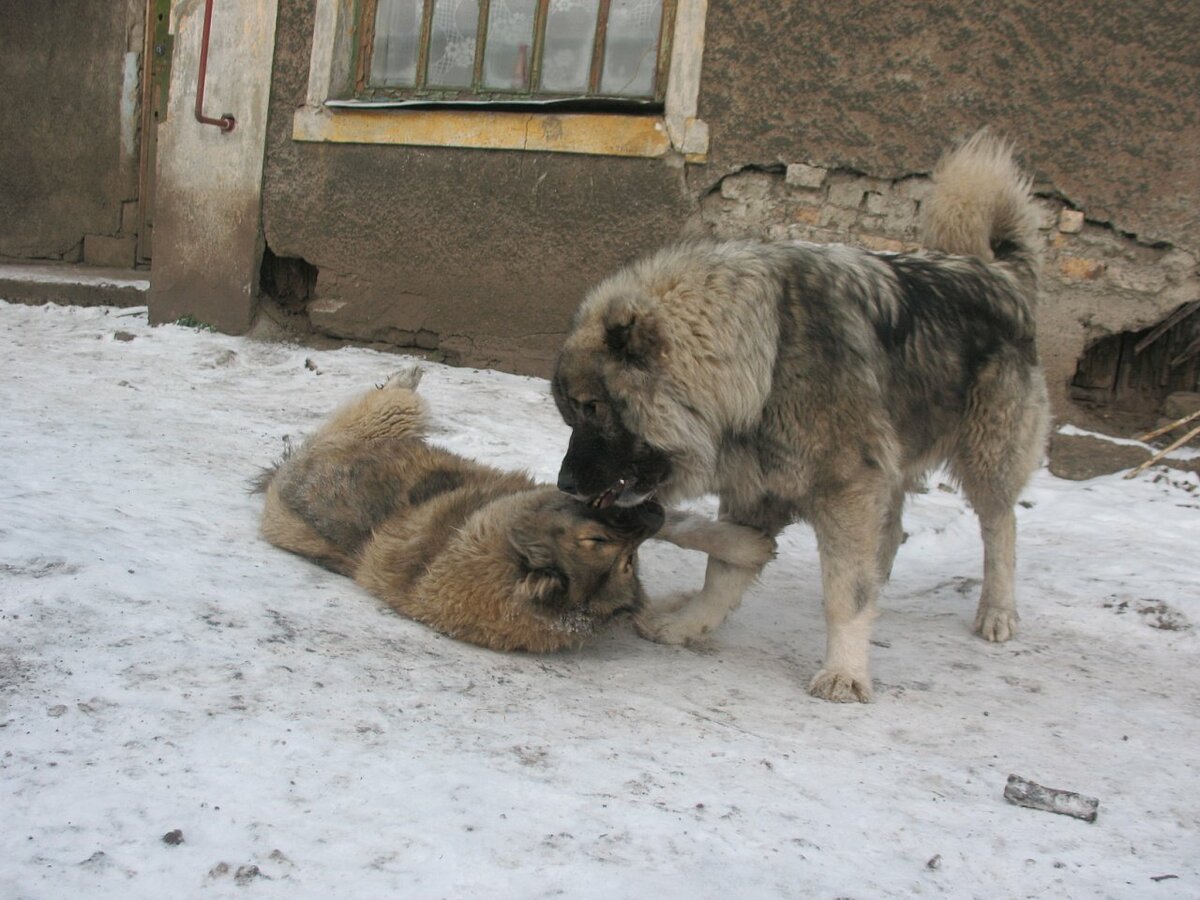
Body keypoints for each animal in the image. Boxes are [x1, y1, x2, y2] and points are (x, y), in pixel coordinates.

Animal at [256, 367, 772, 657]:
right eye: (601, 545)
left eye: (627, 562)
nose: (648, 522)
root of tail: (284, 474)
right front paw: (749, 544)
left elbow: (680, 526)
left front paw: (741, 545)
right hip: (382, 423)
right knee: (389, 400)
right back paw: (408, 375)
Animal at [552, 130, 1051, 700]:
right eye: (569, 415)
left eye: (592, 408)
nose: (565, 484)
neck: (763, 360)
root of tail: (1000, 273)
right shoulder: (757, 482)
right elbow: (724, 568)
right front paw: (690, 623)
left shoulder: (845, 485)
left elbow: (843, 595)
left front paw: (846, 671)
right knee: (894, 524)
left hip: (987, 455)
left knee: (999, 526)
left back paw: (997, 611)